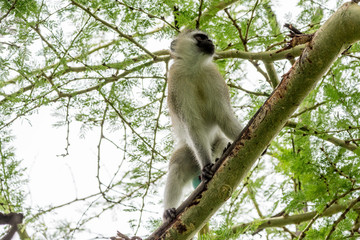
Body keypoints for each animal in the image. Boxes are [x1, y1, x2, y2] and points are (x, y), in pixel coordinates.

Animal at [163, 29, 242, 220]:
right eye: (200, 37)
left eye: (207, 36)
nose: (211, 41)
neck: (195, 69)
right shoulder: (176, 83)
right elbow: (192, 125)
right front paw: (206, 166)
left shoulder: (214, 77)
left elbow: (224, 116)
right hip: (190, 154)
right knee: (177, 164)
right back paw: (168, 211)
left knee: (221, 141)